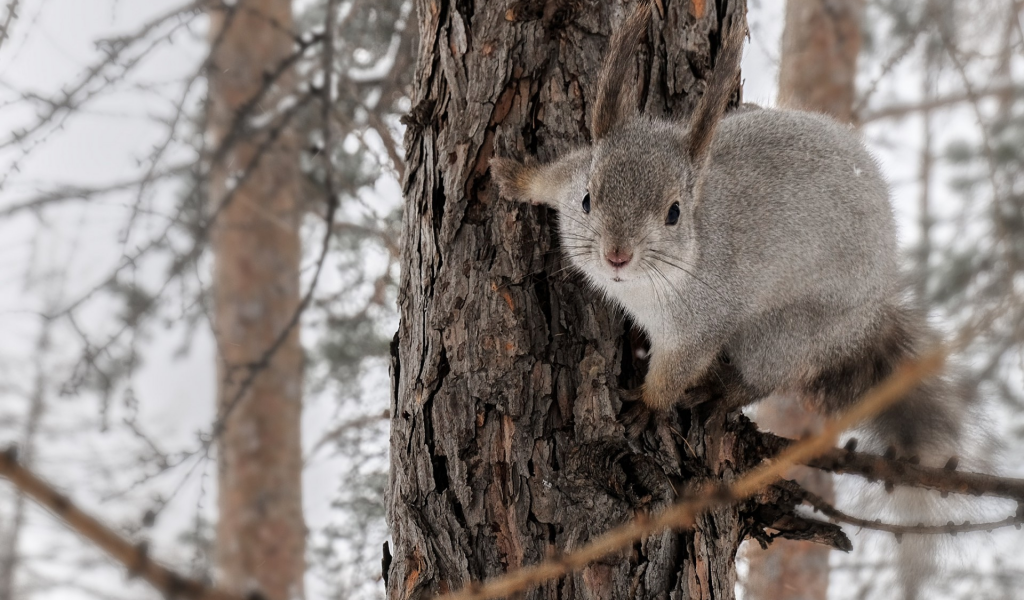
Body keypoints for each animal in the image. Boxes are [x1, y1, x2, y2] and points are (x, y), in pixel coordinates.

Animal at [487, 1, 966, 466]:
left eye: (674, 213)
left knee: (764, 377)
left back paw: (722, 392)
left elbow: (677, 371)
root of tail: (873, 314)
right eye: (588, 199)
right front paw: (514, 176)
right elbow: (551, 178)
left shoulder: (700, 323)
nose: (616, 255)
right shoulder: (571, 176)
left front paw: (649, 406)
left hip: (783, 336)